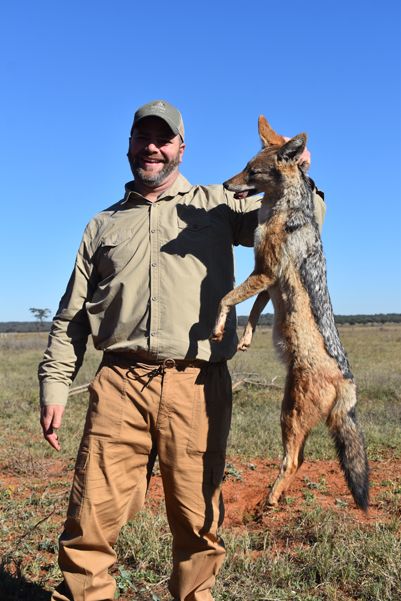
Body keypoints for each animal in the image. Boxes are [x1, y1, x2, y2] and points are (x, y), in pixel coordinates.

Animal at [212, 117, 369, 510]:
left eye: (252, 172)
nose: (226, 185)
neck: (282, 208)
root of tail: (347, 381)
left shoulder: (265, 272)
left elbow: (225, 299)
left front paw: (218, 330)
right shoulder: (266, 282)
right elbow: (251, 310)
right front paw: (245, 340)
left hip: (289, 415)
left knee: (294, 460)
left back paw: (269, 499)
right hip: (294, 414)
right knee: (301, 459)